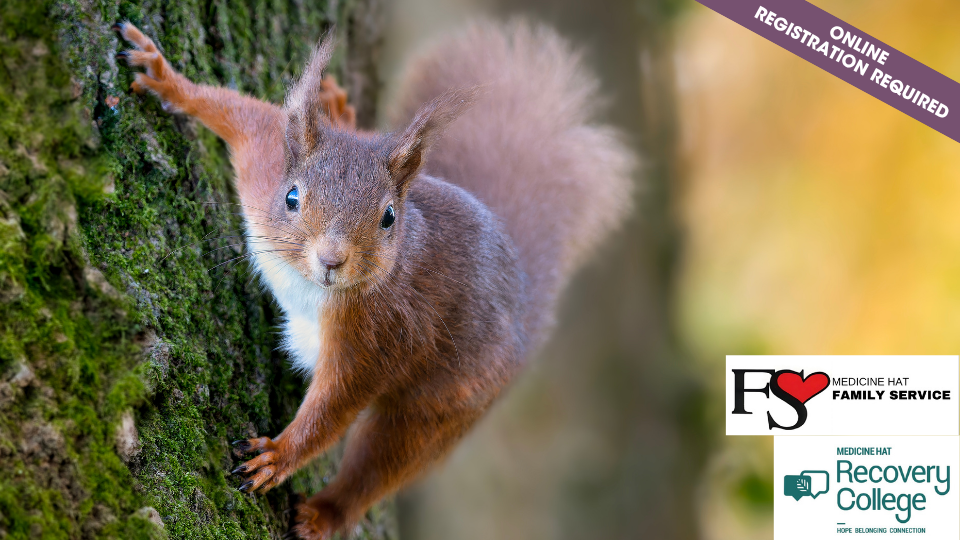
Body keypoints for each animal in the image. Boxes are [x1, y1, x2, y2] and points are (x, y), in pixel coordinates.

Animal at [113, 19, 633, 539]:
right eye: (292, 196)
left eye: (388, 218)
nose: (331, 260)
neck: (308, 283)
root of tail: (523, 301)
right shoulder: (263, 157)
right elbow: (236, 109)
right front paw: (164, 76)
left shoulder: (381, 334)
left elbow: (335, 406)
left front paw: (278, 456)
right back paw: (343, 113)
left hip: (444, 405)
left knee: (380, 465)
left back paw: (323, 515)